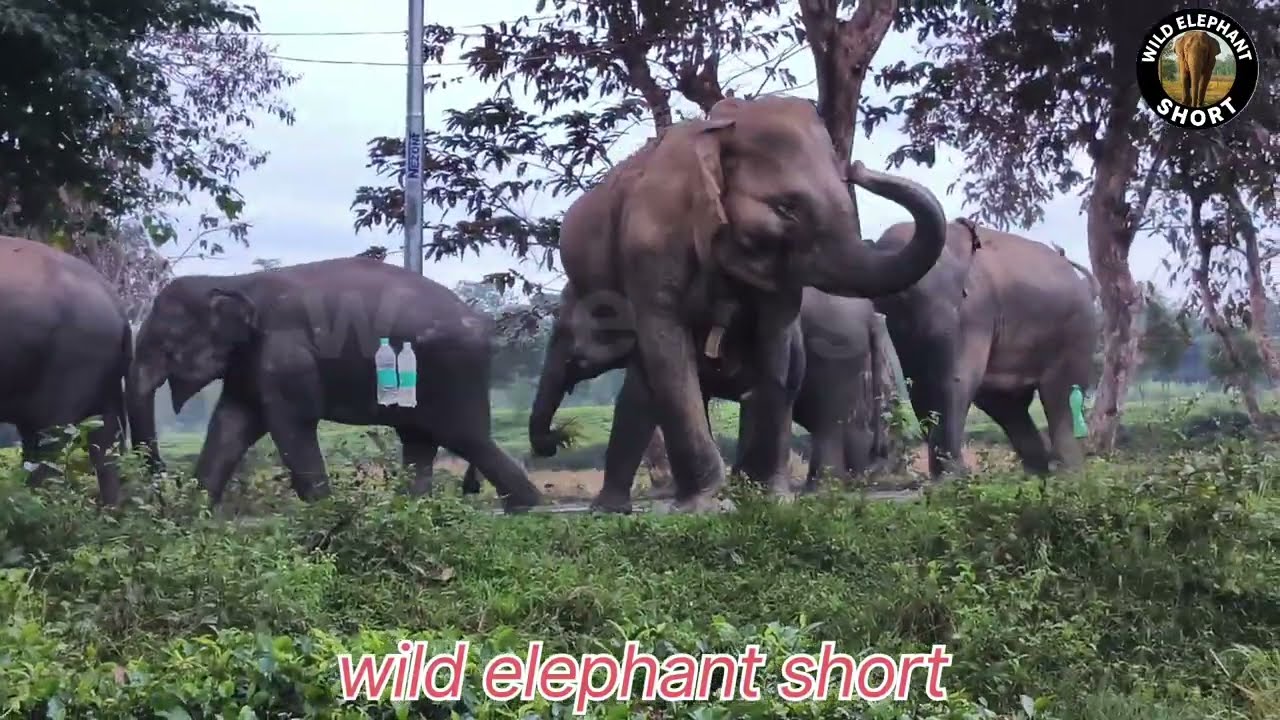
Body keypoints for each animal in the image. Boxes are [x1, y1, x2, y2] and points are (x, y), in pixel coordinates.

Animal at [127, 256, 542, 512]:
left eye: (166, 346)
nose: (161, 478)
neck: (231, 282)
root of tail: (483, 323)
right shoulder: (250, 363)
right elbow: (232, 424)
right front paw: (192, 513)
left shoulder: (286, 354)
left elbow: (292, 425)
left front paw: (324, 511)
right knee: (420, 440)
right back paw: (412, 508)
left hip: (454, 370)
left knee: (467, 438)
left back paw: (528, 507)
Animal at [525, 94, 948, 512]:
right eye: (787, 208)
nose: (557, 440)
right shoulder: (647, 248)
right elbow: (662, 360)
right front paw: (702, 505)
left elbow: (775, 348)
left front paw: (767, 500)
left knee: (830, 417)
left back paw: (817, 491)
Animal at [868, 218, 1100, 480]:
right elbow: (920, 383)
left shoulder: (975, 313)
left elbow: (957, 380)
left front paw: (952, 480)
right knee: (1009, 408)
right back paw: (1039, 475)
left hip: (1077, 334)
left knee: (1060, 398)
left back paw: (1069, 475)